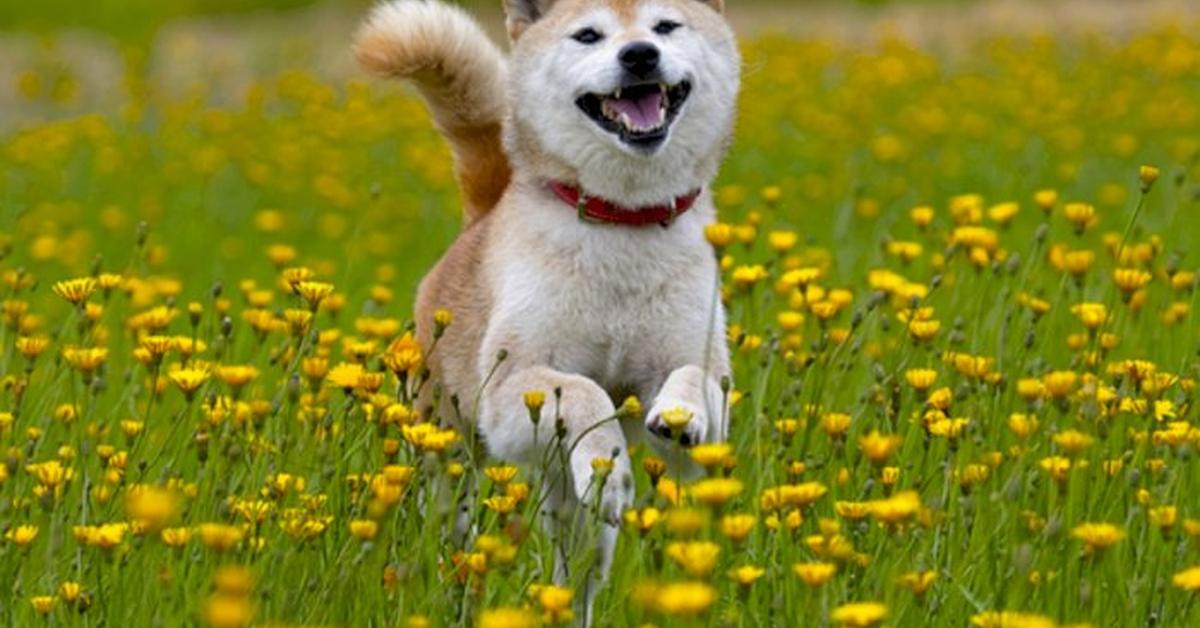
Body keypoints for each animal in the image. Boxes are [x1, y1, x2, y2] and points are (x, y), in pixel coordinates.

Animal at [350, 0, 734, 619]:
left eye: (665, 26)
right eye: (588, 35)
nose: (639, 55)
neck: (623, 222)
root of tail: (478, 220)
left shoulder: (703, 393)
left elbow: (692, 379)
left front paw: (678, 416)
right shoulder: (512, 389)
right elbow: (584, 390)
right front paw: (609, 460)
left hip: (579, 520)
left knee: (575, 574)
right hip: (447, 458)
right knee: (453, 541)